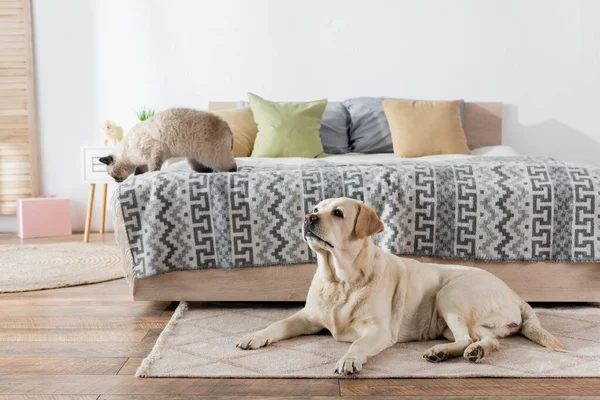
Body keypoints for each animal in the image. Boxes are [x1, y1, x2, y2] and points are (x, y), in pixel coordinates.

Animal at [99, 106, 237, 181]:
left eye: (111, 175)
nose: (117, 182)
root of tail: (226, 124)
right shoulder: (144, 160)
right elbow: (141, 170)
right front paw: (139, 174)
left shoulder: (153, 153)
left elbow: (153, 168)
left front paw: (151, 174)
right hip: (194, 159)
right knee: (205, 168)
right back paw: (206, 172)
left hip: (214, 156)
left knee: (232, 167)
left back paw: (230, 171)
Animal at [236, 197, 568, 376]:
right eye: (316, 207)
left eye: (338, 213)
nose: (307, 216)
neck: (341, 281)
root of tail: (516, 294)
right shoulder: (307, 317)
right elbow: (277, 324)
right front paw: (254, 336)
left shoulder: (378, 331)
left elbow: (357, 344)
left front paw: (348, 359)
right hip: (462, 320)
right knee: (485, 339)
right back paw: (473, 352)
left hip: (450, 294)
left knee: (466, 337)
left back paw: (442, 353)